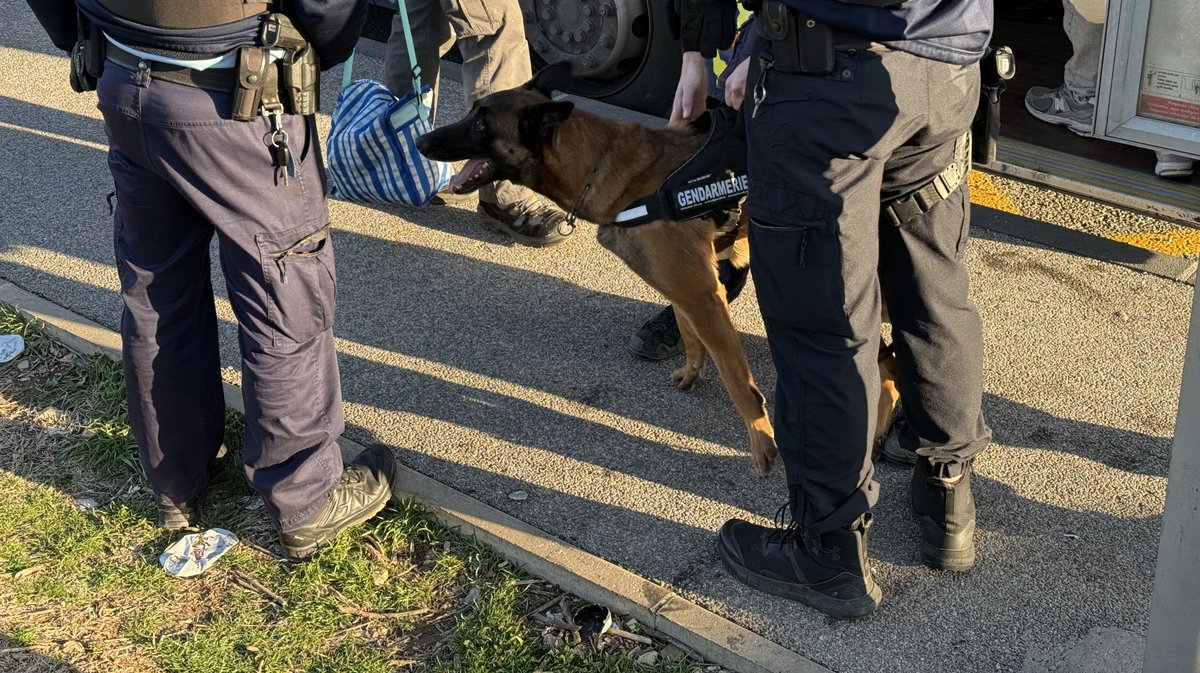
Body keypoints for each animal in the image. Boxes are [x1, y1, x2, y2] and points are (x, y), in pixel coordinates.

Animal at [417, 61, 897, 472]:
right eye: (472, 114)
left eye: (482, 123)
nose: (421, 142)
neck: (605, 166)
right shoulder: (687, 288)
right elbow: (689, 331)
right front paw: (692, 370)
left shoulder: (704, 294)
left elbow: (737, 379)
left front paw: (762, 442)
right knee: (889, 369)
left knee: (888, 367)